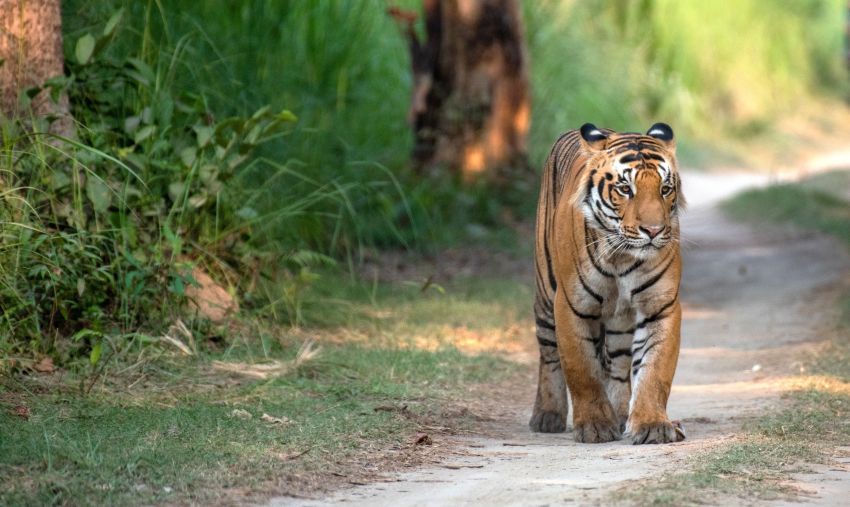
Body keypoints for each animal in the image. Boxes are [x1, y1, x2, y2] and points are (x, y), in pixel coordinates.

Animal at [529, 122, 686, 444]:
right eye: (625, 189)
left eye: (665, 189)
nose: (654, 230)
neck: (621, 257)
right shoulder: (571, 305)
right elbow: (582, 369)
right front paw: (595, 426)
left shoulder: (660, 307)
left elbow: (655, 370)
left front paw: (651, 424)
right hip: (545, 295)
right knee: (549, 354)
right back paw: (547, 416)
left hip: (619, 323)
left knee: (618, 364)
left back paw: (622, 412)